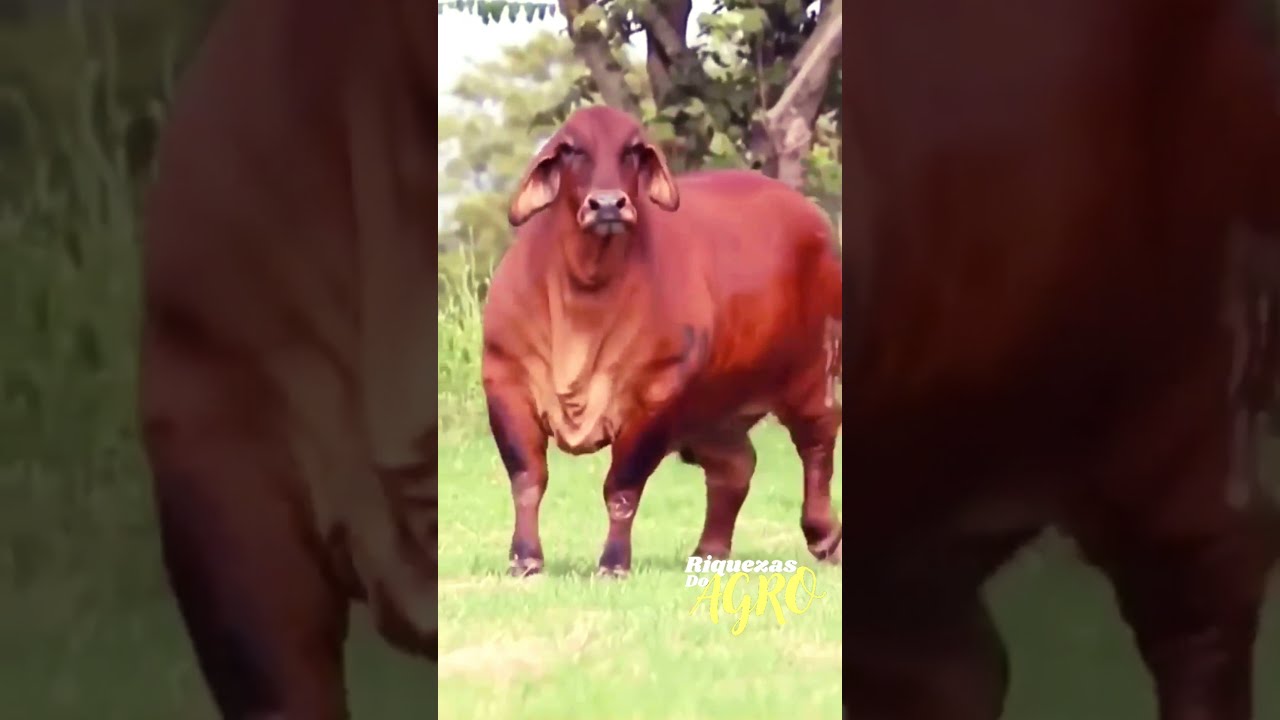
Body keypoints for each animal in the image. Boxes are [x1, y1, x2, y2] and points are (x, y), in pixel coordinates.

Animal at [480, 105, 844, 578]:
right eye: (571, 149)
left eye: (634, 150)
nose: (608, 204)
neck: (585, 291)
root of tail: (810, 215)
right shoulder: (504, 381)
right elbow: (527, 478)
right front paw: (524, 558)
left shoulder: (653, 397)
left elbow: (621, 487)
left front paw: (613, 562)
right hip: (712, 409)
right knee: (735, 467)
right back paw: (709, 551)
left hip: (812, 376)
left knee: (817, 445)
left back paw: (824, 536)